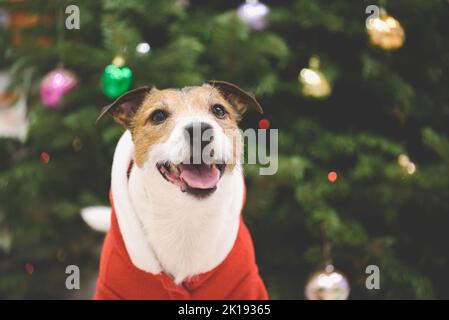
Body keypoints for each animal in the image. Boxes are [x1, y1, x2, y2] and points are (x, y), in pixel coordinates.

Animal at [91, 80, 266, 300]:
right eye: (158, 116)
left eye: (218, 110)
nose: (200, 130)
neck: (186, 215)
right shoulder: (111, 289)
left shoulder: (246, 284)